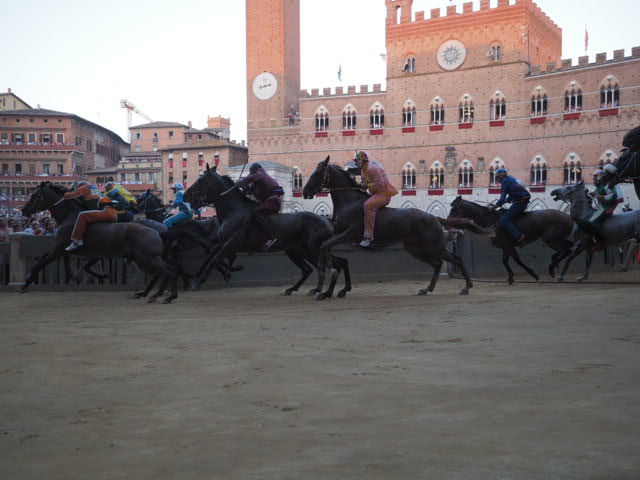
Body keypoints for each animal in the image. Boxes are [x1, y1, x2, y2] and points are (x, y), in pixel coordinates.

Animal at [20, 182, 178, 302]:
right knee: (164, 272)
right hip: (145, 258)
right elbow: (48, 260)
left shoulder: (59, 249)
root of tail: (160, 230)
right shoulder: (64, 249)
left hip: (147, 258)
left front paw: (26, 284)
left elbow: (40, 264)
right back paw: (152, 294)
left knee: (167, 272)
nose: (23, 210)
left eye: (34, 195)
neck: (70, 216)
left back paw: (161, 295)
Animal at [185, 165, 350, 300]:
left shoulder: (233, 243)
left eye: (200, 180)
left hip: (314, 249)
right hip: (298, 251)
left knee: (334, 266)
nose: (186, 195)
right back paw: (302, 289)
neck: (234, 211)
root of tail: (327, 221)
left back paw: (327, 292)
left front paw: (198, 281)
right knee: (312, 268)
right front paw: (227, 271)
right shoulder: (226, 243)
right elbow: (212, 255)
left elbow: (215, 259)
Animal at [302, 158, 488, 296]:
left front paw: (324, 282)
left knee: (456, 259)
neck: (349, 201)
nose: (305, 191)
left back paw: (467, 286)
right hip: (415, 248)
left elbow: (326, 246)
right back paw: (427, 288)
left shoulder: (350, 233)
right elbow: (324, 245)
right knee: (436, 264)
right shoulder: (338, 233)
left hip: (434, 246)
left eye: (317, 172)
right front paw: (326, 284)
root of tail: (434, 217)